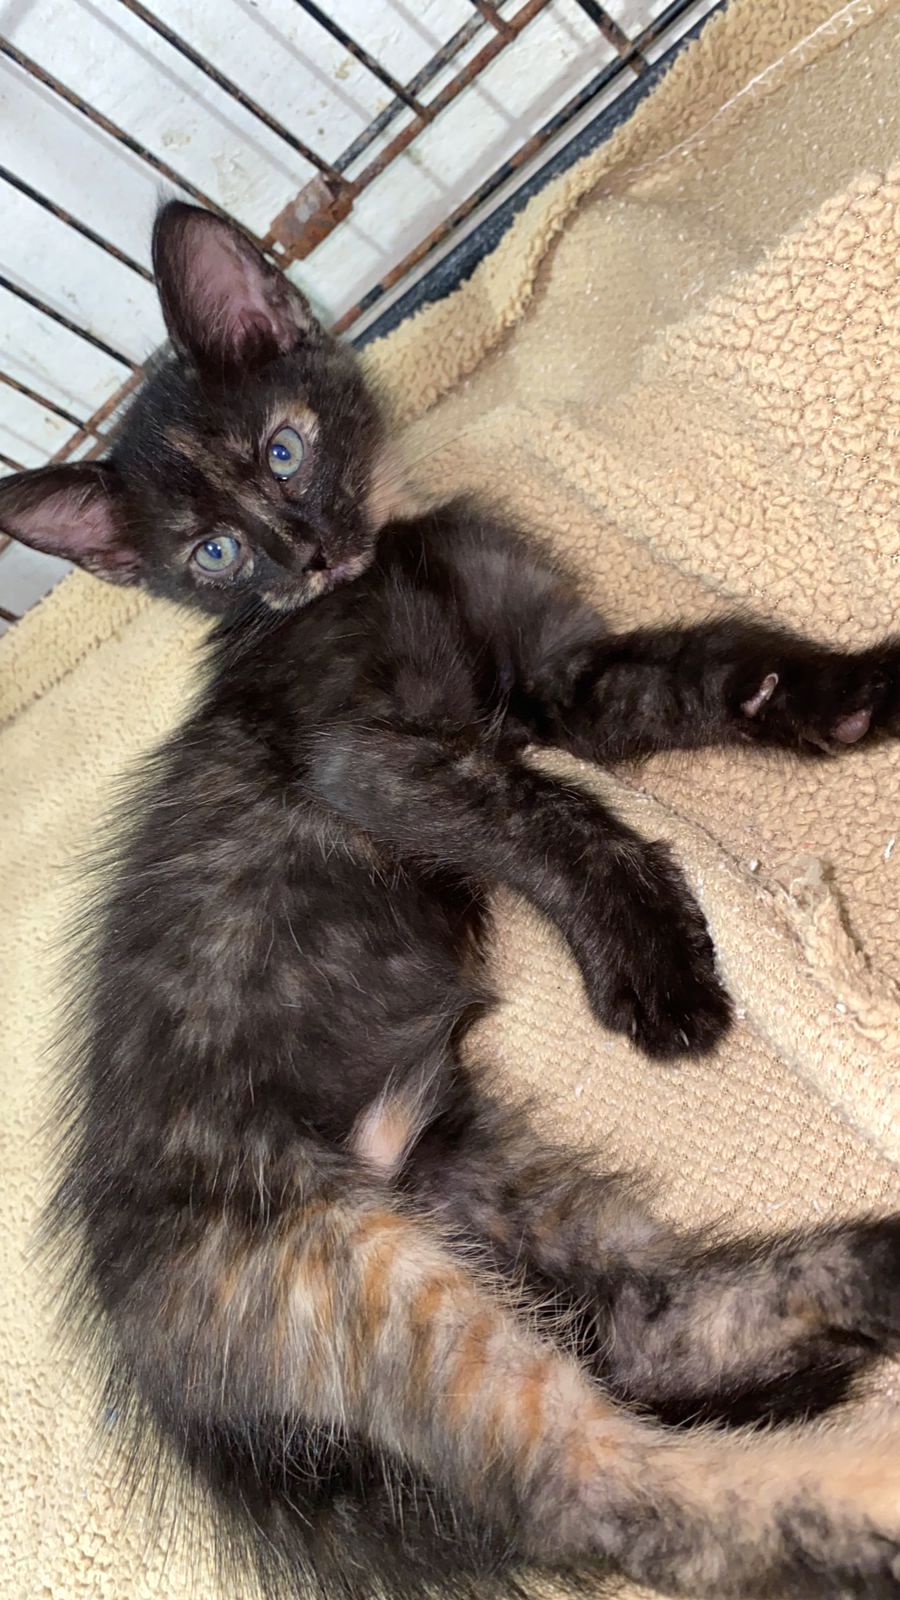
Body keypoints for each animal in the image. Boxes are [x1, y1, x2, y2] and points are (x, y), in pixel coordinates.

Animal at [5, 203, 896, 1600]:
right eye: (212, 554)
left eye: (285, 447)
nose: (305, 552)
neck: (388, 568)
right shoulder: (367, 759)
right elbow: (549, 817)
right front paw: (655, 967)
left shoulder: (571, 676)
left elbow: (718, 665)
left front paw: (857, 688)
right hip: (346, 1266)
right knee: (604, 1488)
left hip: (488, 1179)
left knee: (646, 1330)